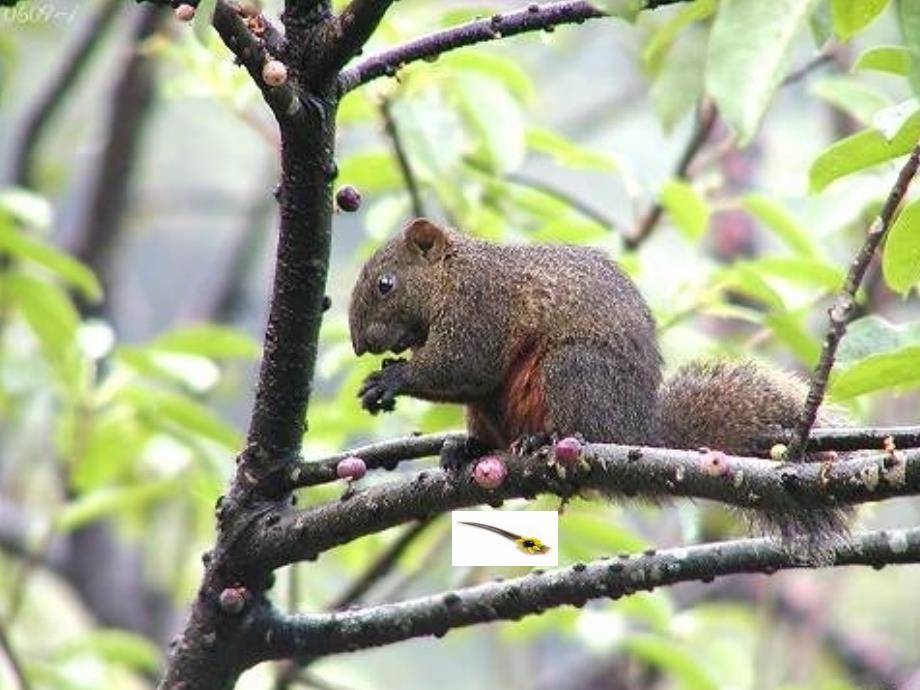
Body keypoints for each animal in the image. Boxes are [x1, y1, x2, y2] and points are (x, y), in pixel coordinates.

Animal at [348, 218, 852, 552]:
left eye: (386, 284)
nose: (358, 344)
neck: (451, 275)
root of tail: (636, 433)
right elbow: (468, 379)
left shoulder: (480, 307)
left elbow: (464, 367)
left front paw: (392, 377)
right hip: (494, 408)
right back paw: (468, 449)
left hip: (572, 372)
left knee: (576, 425)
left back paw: (540, 440)